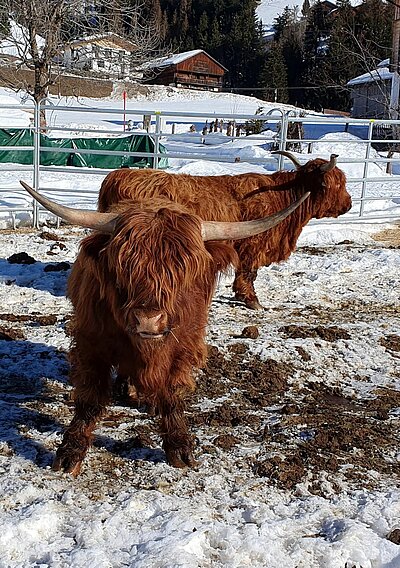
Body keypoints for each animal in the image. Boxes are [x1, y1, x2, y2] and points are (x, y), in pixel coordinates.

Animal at [19, 180, 310, 472]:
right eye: (124, 269)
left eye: (181, 274)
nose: (149, 319)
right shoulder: (92, 342)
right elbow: (90, 398)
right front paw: (71, 451)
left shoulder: (184, 346)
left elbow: (171, 393)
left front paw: (179, 446)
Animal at [96, 151, 350, 308]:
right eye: (339, 184)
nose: (348, 203)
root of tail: (118, 175)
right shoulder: (252, 247)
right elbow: (248, 273)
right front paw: (252, 300)